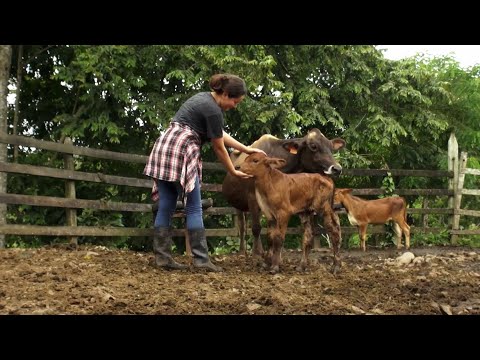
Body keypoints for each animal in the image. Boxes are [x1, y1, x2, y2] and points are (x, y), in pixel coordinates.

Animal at [221, 128, 344, 258]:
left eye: (331, 147)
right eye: (313, 146)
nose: (337, 169)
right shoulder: (252, 197)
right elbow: (256, 228)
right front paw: (256, 254)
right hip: (238, 205)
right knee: (242, 226)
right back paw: (242, 251)